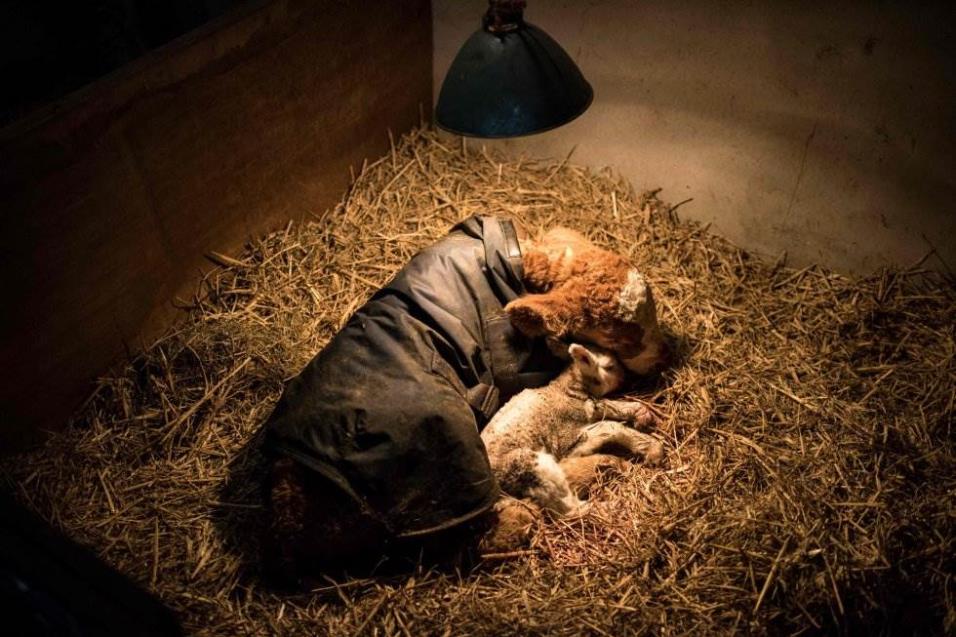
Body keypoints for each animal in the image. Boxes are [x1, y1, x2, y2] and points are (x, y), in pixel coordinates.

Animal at [482, 340, 660, 516]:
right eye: (610, 366)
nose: (628, 378)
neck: (565, 390)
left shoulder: (589, 408)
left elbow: (608, 407)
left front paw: (641, 414)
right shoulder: (567, 442)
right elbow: (609, 425)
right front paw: (652, 448)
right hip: (527, 466)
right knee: (568, 510)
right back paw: (607, 507)